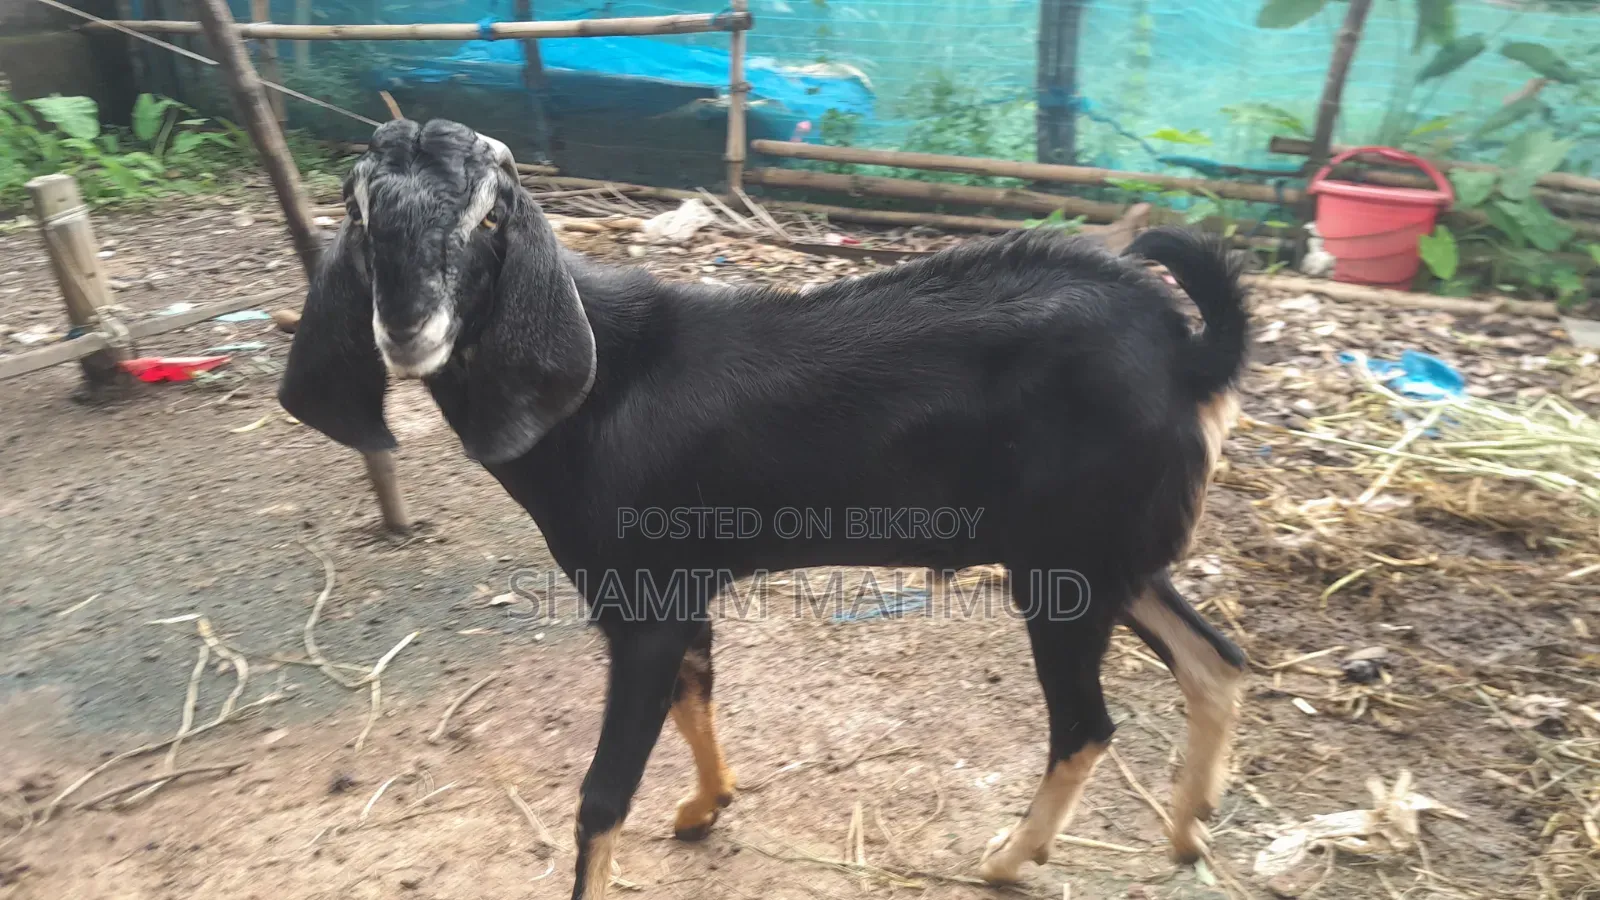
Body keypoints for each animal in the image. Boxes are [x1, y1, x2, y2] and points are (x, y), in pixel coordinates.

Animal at [279, 118, 1250, 900]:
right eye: (360, 217)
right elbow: (695, 693)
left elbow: (602, 794)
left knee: (1087, 724)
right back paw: (1185, 833)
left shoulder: (641, 607)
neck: (597, 385)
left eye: (490, 218)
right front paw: (707, 806)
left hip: (1063, 567)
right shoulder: (678, 591)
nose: (408, 328)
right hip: (1105, 550)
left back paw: (1011, 859)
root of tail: (1190, 354)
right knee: (1216, 660)